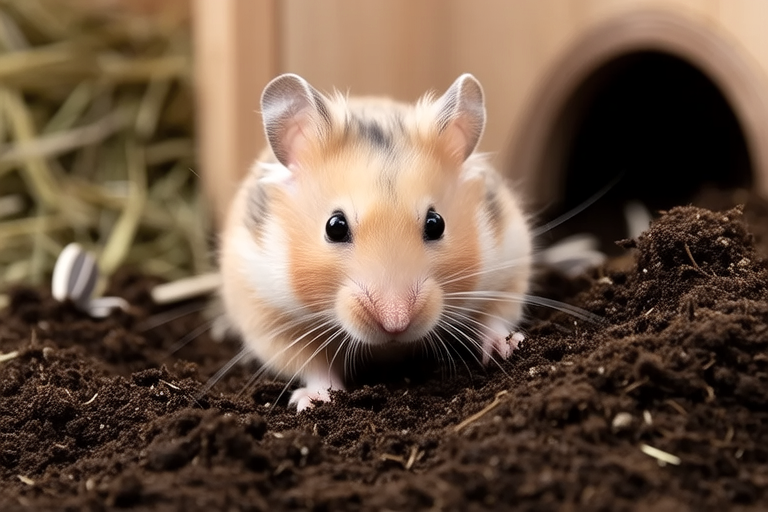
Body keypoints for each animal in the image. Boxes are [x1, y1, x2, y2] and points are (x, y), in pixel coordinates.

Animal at [219, 73, 532, 411]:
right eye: (335, 227)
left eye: (436, 224)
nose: (395, 323)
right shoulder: (267, 315)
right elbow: (313, 365)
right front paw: (314, 401)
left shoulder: (509, 266)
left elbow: (495, 318)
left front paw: (508, 347)